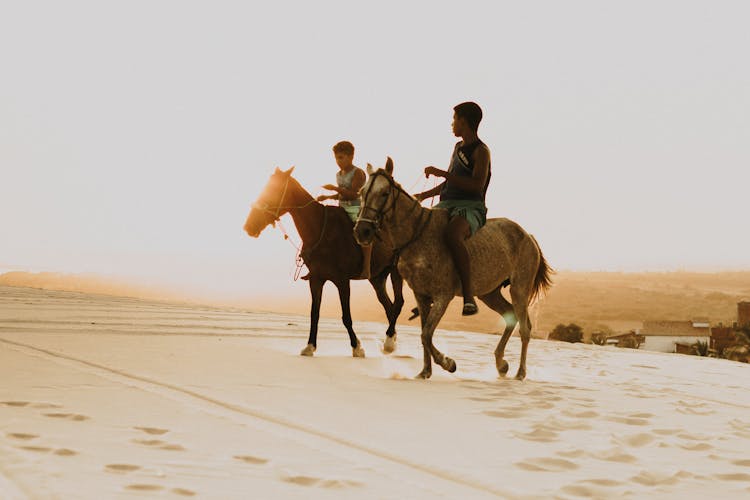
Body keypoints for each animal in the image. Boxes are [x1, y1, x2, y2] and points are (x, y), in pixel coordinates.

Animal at [245, 168, 406, 356]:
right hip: (377, 277)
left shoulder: (342, 281)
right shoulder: (316, 279)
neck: (319, 229)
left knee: (398, 303)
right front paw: (310, 346)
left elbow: (346, 317)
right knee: (388, 305)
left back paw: (389, 342)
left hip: (396, 270)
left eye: (274, 192)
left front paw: (357, 347)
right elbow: (314, 313)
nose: (249, 226)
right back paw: (391, 339)